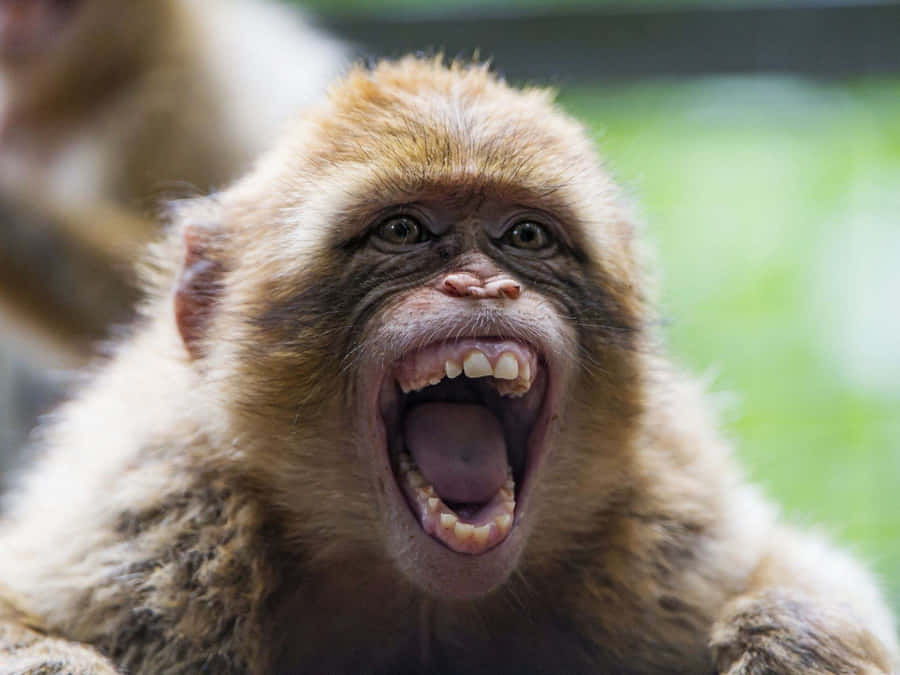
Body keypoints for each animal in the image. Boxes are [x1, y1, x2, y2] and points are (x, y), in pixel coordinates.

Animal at [0, 57, 896, 674]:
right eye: (403, 231)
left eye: (526, 236)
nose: (482, 284)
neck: (422, 596)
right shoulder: (150, 531)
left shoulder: (674, 539)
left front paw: (790, 637)